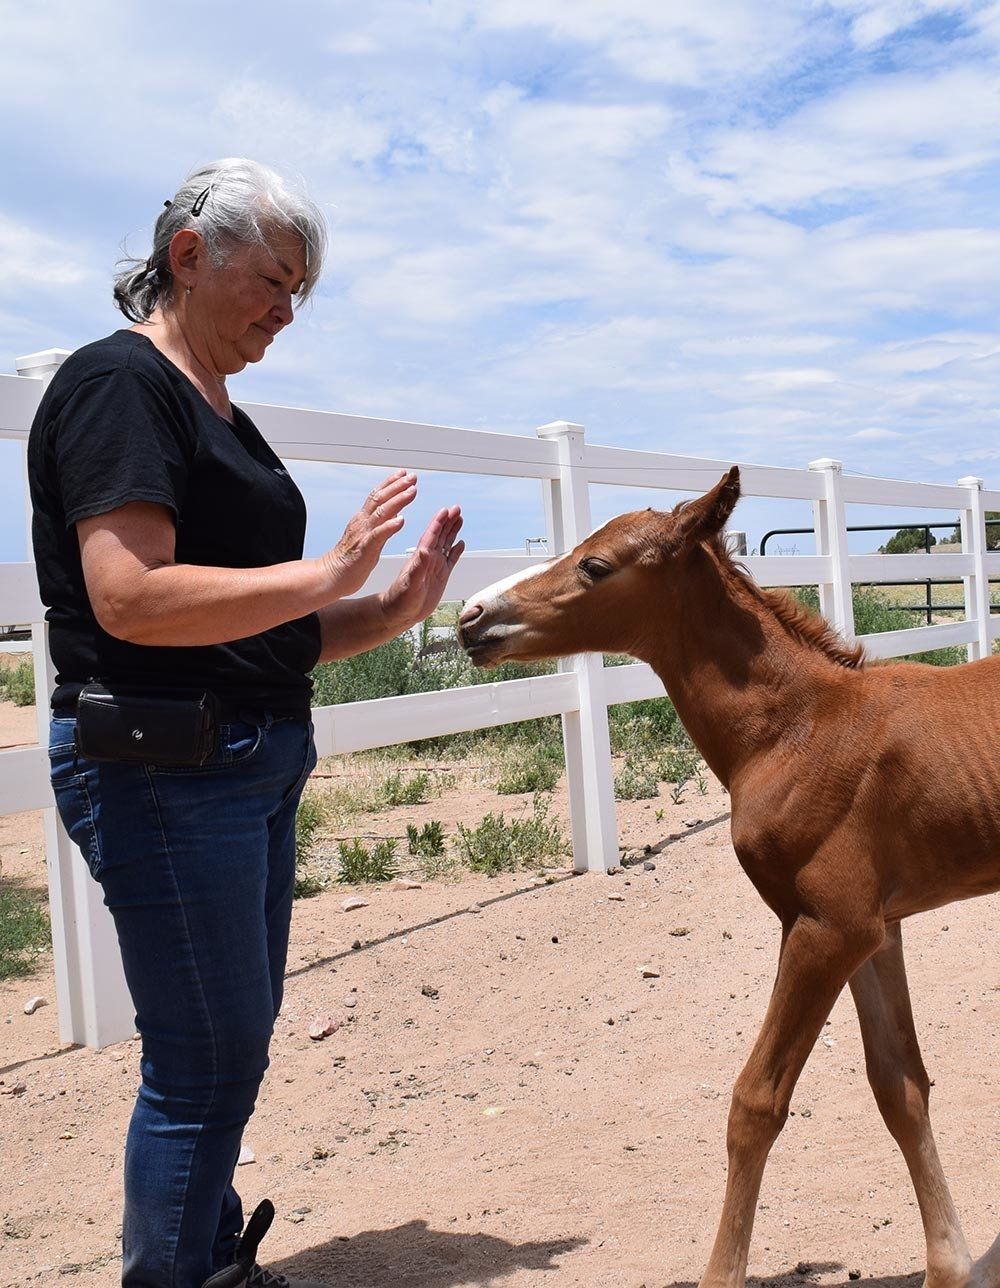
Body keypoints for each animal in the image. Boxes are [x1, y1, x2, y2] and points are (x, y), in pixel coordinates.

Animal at [456, 466, 1000, 1288]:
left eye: (595, 566)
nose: (470, 617)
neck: (796, 729)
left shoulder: (826, 930)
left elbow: (756, 1103)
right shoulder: (875, 932)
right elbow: (900, 1086)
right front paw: (951, 1264)